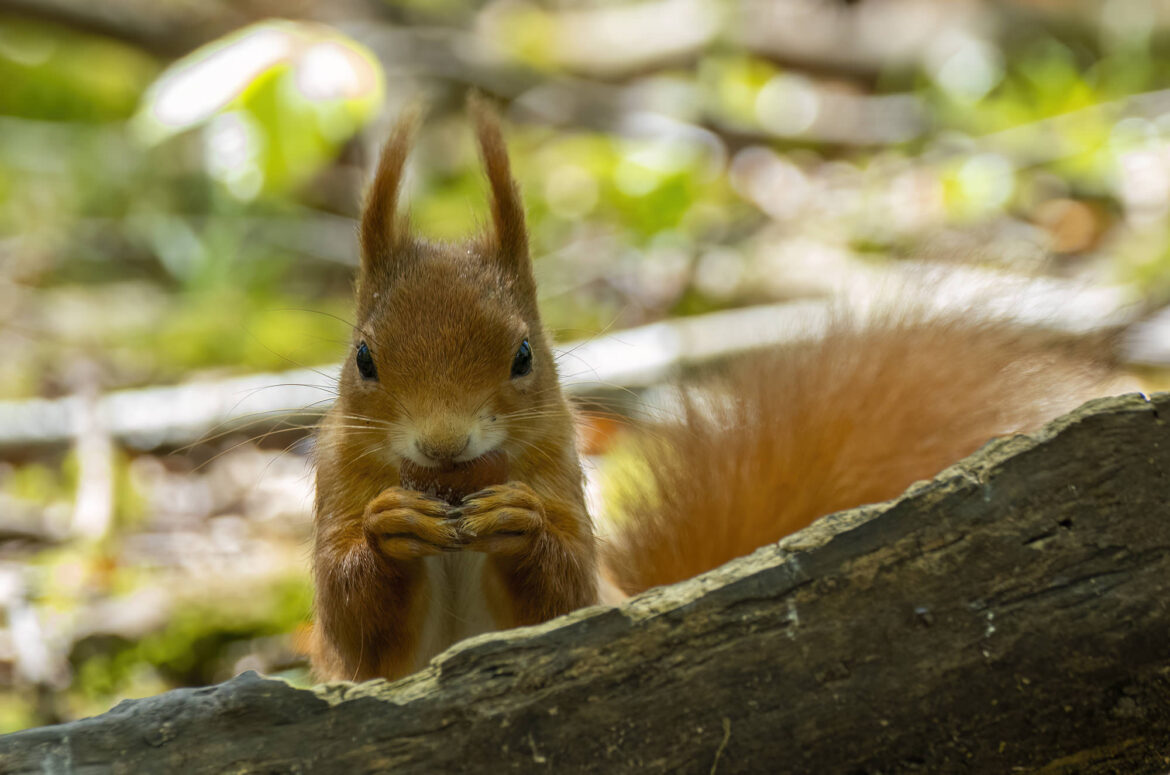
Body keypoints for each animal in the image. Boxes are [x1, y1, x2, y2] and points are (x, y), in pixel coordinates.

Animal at [309, 99, 1115, 682]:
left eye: (523, 355)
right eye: (364, 360)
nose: (445, 444)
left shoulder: (560, 471)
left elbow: (564, 598)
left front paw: (519, 518)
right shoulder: (338, 481)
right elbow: (352, 617)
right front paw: (390, 524)